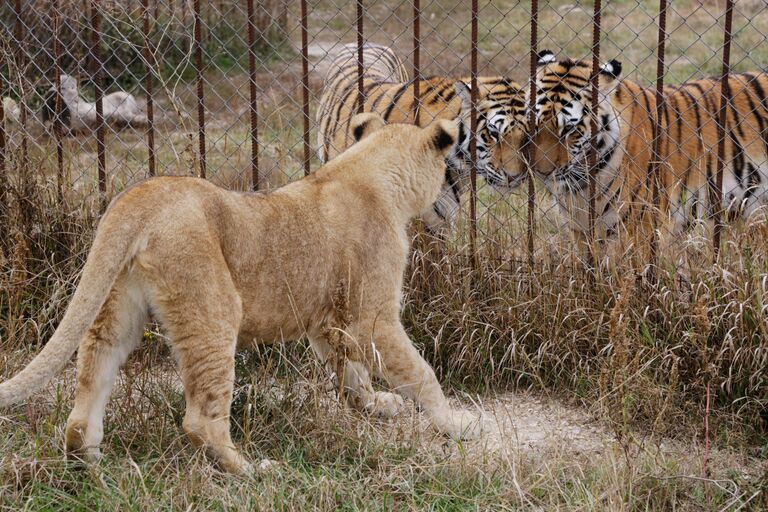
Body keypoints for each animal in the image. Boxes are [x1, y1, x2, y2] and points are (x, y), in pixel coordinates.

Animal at [524, 50, 768, 258]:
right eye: (535, 124)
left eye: (569, 129)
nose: (542, 172)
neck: (581, 183)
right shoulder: (581, 229)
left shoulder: (640, 228)